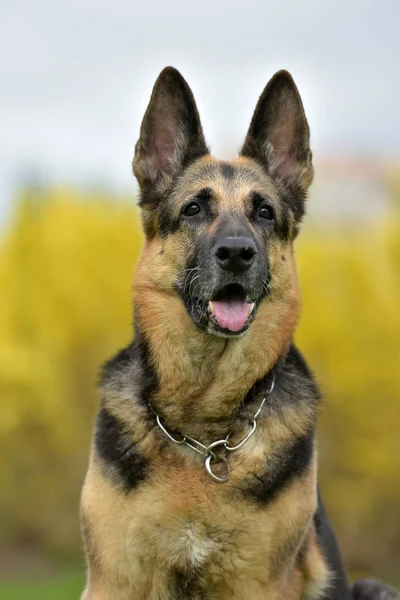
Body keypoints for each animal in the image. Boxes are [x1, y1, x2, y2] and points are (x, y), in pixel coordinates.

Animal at [79, 67, 398, 600]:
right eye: (193, 209)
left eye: (264, 212)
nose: (236, 253)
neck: (204, 436)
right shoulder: (115, 583)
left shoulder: (257, 584)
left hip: (376, 586)